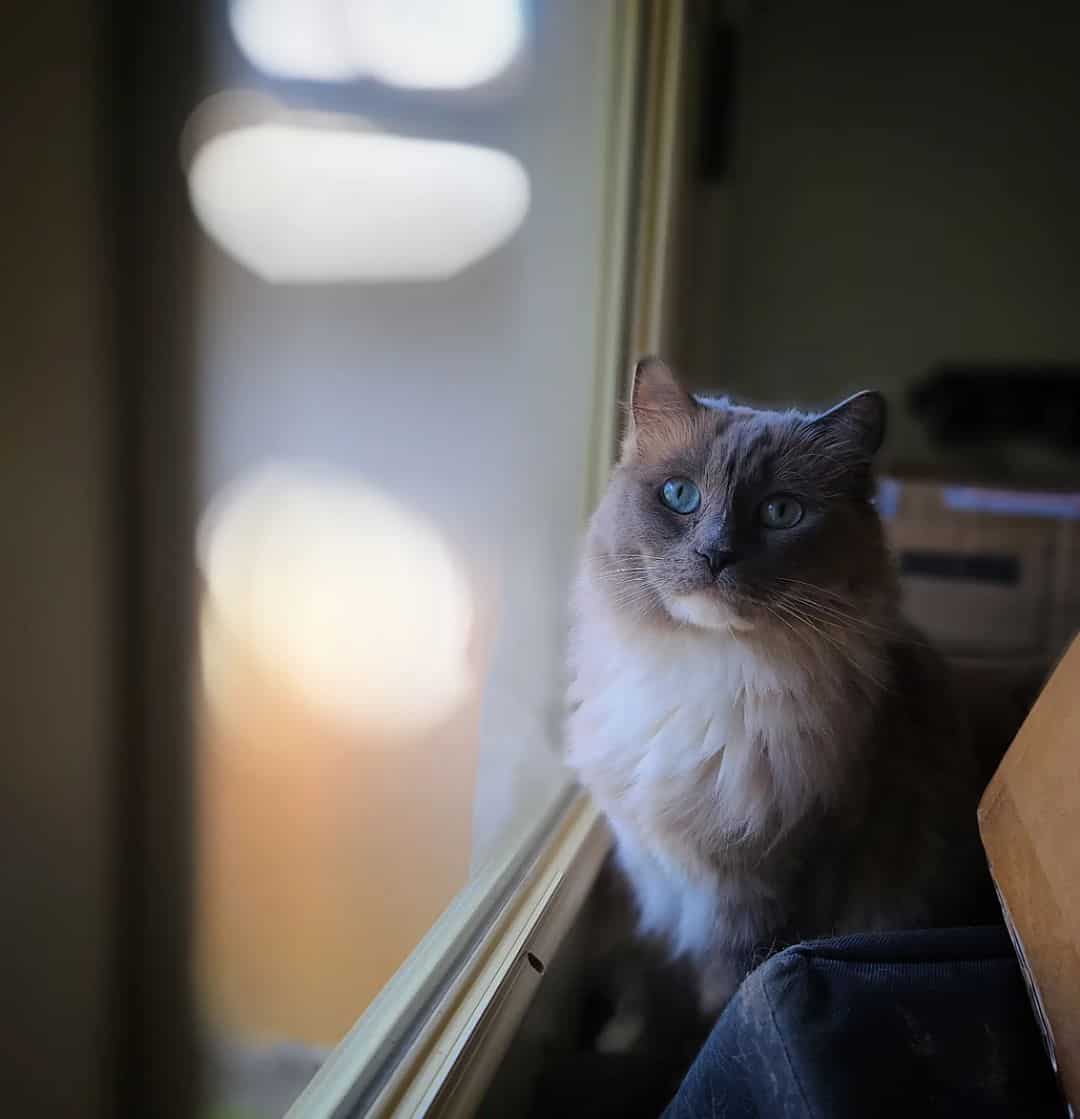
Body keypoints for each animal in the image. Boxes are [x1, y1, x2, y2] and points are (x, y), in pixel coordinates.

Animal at [568, 358, 989, 1016]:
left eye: (780, 513)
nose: (715, 554)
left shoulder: (766, 895)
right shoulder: (660, 874)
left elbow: (721, 1001)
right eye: (680, 496)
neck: (710, 671)